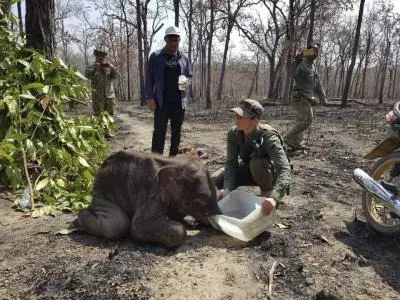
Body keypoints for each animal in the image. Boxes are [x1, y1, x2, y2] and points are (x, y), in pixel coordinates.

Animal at [76, 151, 220, 247]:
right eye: (201, 200)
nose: (216, 218)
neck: (173, 163)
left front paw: (188, 223)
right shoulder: (151, 195)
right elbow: (137, 226)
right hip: (102, 195)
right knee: (117, 224)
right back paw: (80, 216)